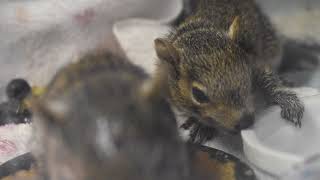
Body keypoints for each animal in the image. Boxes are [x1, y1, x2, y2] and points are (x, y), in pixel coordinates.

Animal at [150, 0, 304, 143]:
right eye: (198, 95)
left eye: (246, 74)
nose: (245, 121)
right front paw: (202, 126)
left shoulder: (254, 61)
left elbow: (269, 80)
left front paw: (288, 101)